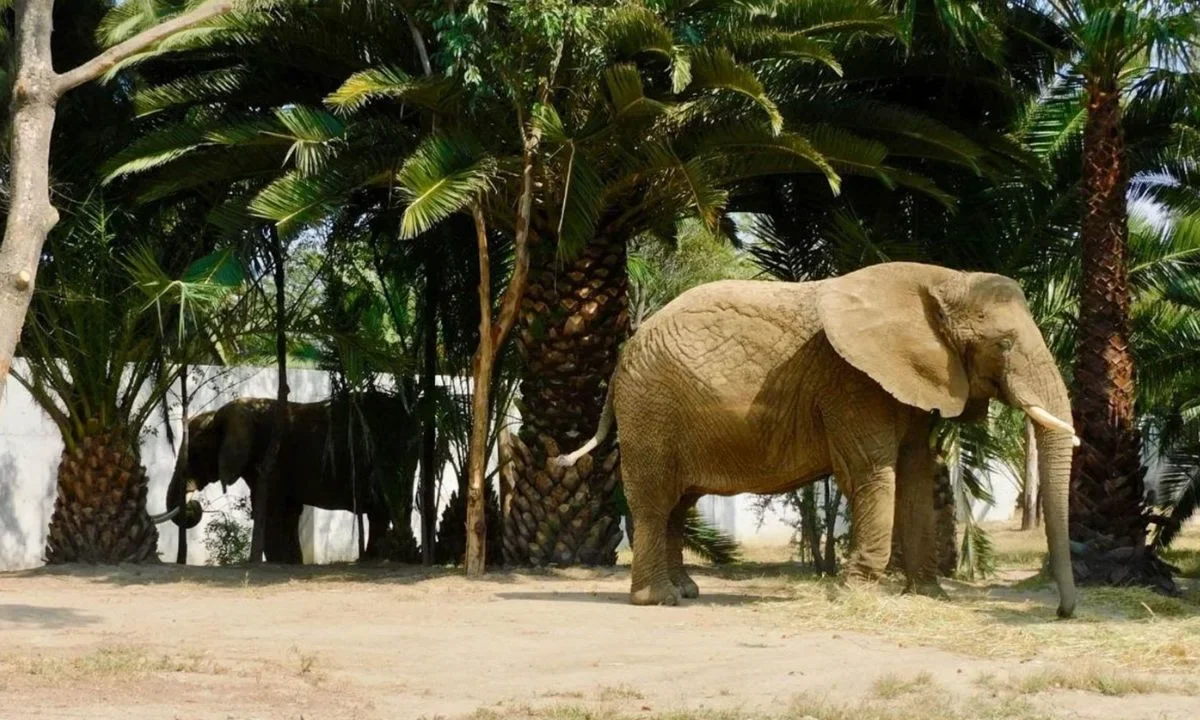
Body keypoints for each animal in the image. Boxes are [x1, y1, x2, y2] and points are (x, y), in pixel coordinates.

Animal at [164, 391, 418, 563]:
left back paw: (372, 559)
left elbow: (270, 510)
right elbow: (289, 512)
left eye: (195, 453)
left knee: (382, 510)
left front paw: (278, 562)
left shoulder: (271, 461)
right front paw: (291, 562)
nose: (193, 504)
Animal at [557, 262, 1078, 618]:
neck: (942, 280)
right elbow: (873, 472)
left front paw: (928, 595)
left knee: (679, 505)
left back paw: (686, 592)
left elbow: (915, 472)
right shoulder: (851, 381)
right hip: (652, 409)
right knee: (655, 501)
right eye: (1004, 344)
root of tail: (622, 358)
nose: (1060, 611)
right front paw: (856, 591)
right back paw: (659, 599)